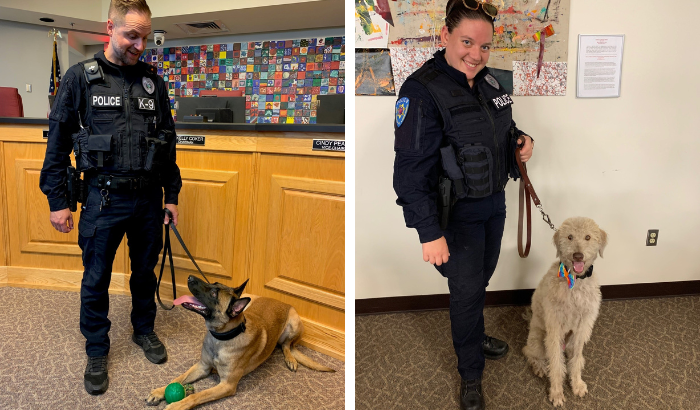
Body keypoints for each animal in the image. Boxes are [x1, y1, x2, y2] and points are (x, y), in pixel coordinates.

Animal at [144, 276, 334, 410]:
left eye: (214, 294)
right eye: (213, 283)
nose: (190, 277)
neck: (221, 338)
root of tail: (281, 301)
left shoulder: (226, 385)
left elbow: (195, 396)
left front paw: (176, 405)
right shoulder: (202, 367)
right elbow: (178, 378)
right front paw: (160, 391)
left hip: (294, 323)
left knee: (287, 346)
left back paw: (291, 359)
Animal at [524, 218, 608, 406]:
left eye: (588, 237)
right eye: (569, 237)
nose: (578, 255)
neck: (575, 281)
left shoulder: (583, 327)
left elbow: (575, 360)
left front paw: (576, 384)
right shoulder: (554, 328)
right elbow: (556, 364)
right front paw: (556, 392)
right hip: (538, 340)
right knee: (530, 353)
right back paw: (540, 367)